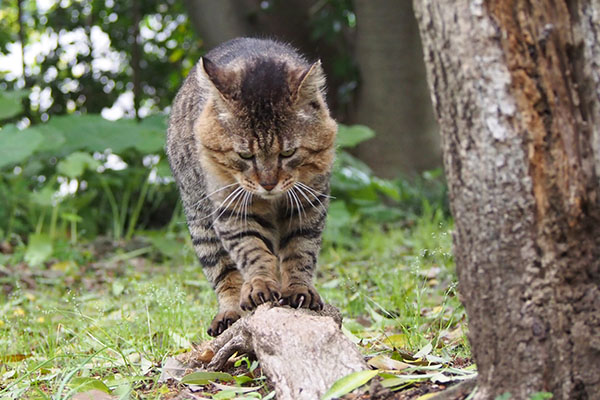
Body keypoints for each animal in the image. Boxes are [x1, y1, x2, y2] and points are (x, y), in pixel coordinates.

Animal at [166, 38, 338, 338]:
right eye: (245, 155)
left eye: (288, 153)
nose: (268, 183)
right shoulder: (232, 210)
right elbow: (252, 252)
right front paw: (260, 285)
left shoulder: (309, 204)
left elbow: (300, 251)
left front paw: (298, 289)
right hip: (200, 222)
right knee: (224, 273)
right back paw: (230, 312)